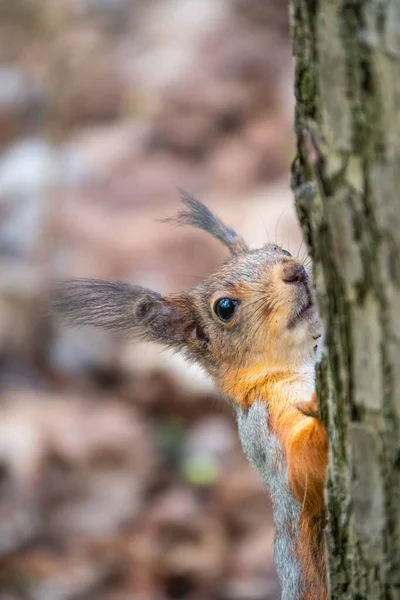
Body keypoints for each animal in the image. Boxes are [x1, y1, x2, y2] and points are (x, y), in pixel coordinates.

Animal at [54, 193, 328, 600]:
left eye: (278, 249)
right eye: (225, 307)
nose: (294, 269)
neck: (298, 363)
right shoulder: (266, 428)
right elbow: (300, 471)